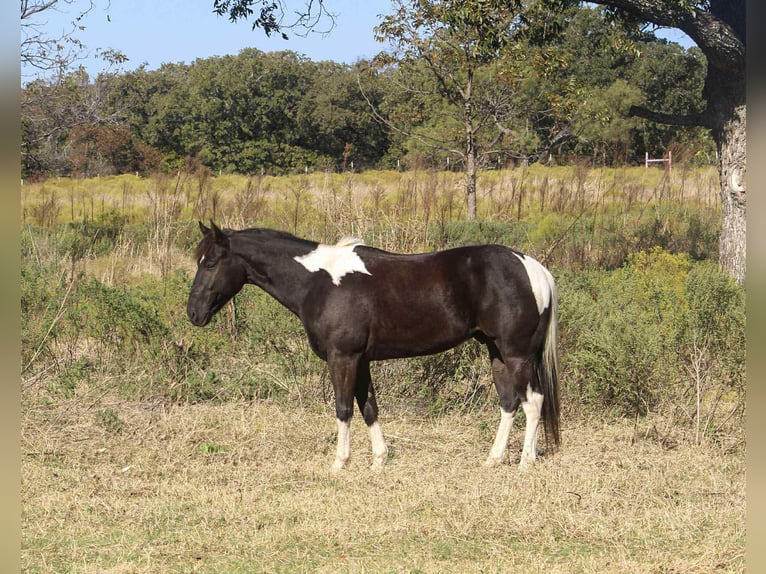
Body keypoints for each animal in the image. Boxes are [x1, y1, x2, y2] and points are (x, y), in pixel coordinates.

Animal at [187, 221, 560, 472]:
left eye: (211, 263)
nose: (193, 313)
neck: (318, 281)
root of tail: (532, 267)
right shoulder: (361, 360)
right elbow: (369, 406)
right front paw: (379, 461)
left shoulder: (342, 358)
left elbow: (343, 408)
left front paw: (340, 463)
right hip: (496, 351)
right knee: (509, 402)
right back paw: (494, 459)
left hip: (516, 353)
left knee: (532, 401)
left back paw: (525, 462)